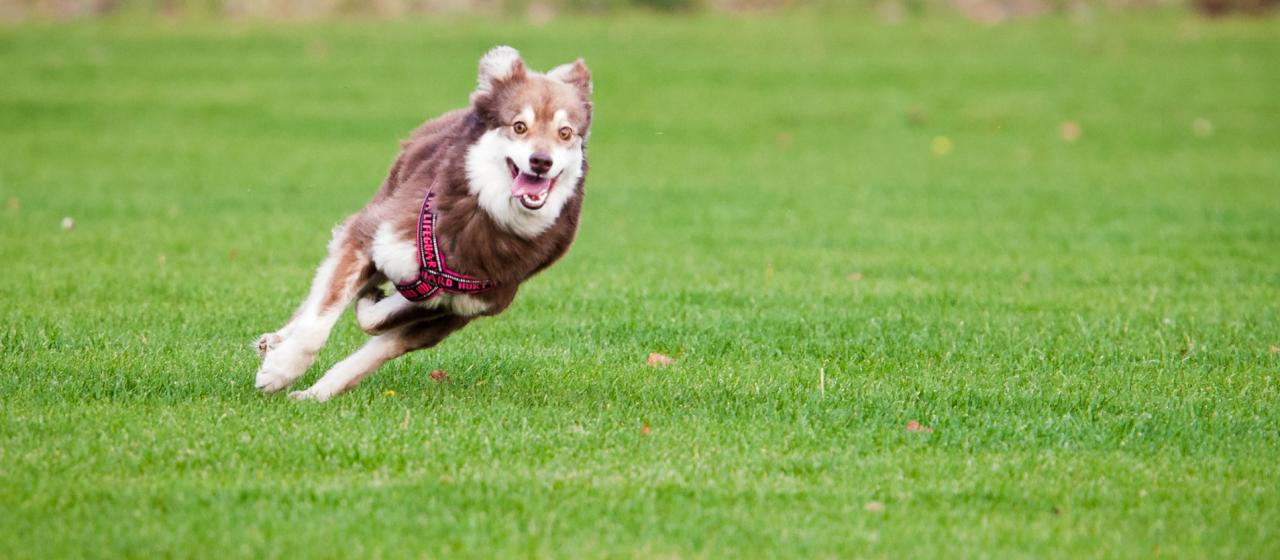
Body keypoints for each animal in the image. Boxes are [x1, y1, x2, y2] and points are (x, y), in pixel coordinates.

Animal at [253, 46, 593, 401]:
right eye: (519, 127)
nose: (541, 161)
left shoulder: (462, 309)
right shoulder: (370, 238)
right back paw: (277, 342)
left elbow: (380, 324)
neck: (485, 216)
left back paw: (315, 393)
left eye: (565, 133)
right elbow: (318, 323)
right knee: (316, 299)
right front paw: (281, 369)